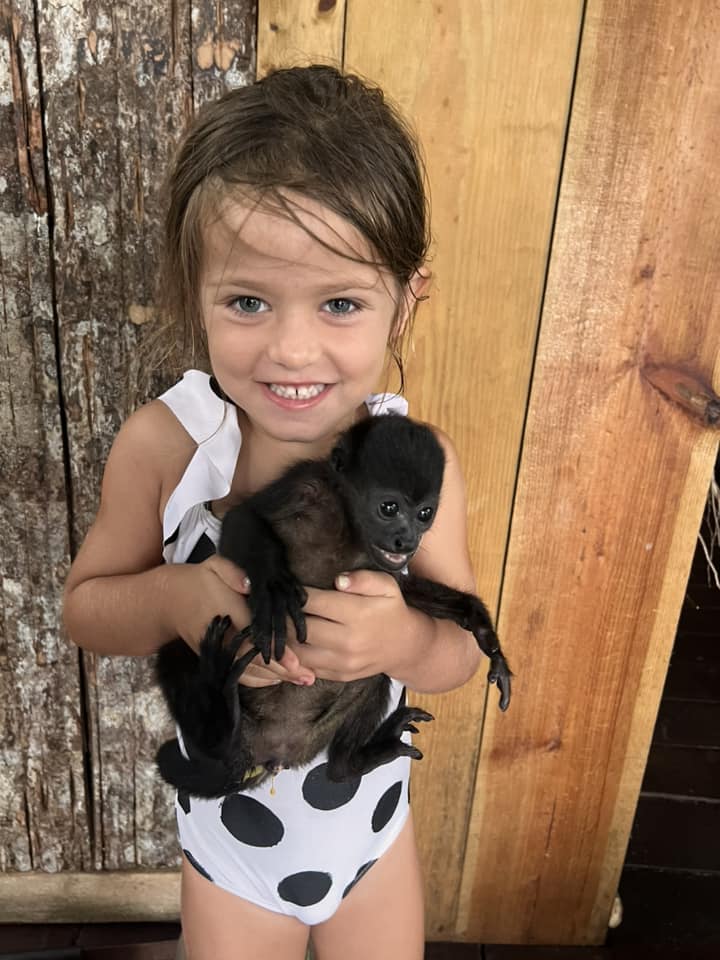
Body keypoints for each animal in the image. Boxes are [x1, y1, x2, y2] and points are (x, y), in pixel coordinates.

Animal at [156, 416, 512, 800]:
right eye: (389, 508)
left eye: (425, 513)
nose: (408, 540)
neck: (349, 524)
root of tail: (269, 753)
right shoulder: (305, 484)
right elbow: (243, 516)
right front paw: (272, 587)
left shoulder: (379, 564)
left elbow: (406, 595)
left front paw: (482, 628)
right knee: (175, 654)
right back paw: (219, 716)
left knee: (374, 676)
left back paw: (353, 760)